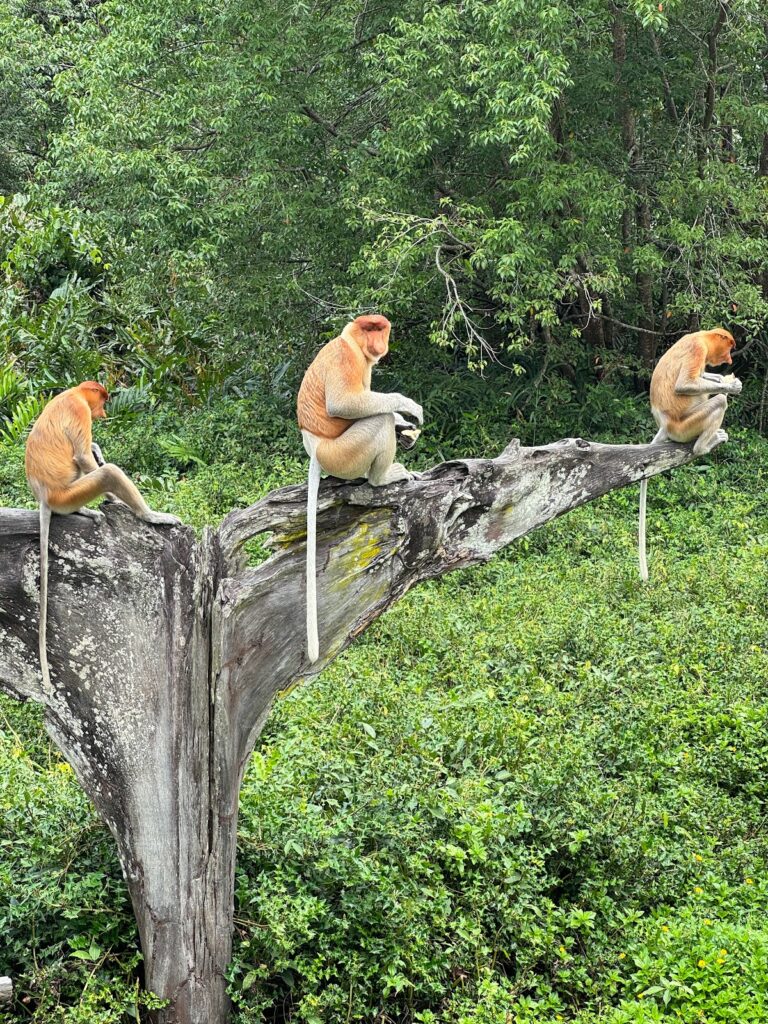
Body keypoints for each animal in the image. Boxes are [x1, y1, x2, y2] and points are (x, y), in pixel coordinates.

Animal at [25, 381, 180, 690]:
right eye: (102, 400)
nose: (104, 412)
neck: (74, 391)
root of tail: (45, 498)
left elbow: (90, 453)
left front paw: (98, 448)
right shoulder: (79, 410)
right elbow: (84, 457)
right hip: (68, 494)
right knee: (108, 473)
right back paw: (145, 513)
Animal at [297, 314, 423, 663]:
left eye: (381, 329)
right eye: (369, 329)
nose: (379, 343)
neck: (353, 343)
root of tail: (315, 449)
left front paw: (406, 425)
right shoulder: (347, 360)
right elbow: (346, 404)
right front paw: (407, 407)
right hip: (342, 454)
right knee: (376, 421)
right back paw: (383, 477)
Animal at [638, 328, 741, 581]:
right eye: (729, 347)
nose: (729, 360)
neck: (702, 335)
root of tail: (666, 426)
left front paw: (723, 379)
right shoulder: (698, 349)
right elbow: (685, 385)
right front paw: (731, 385)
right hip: (686, 426)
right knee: (718, 402)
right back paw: (706, 444)